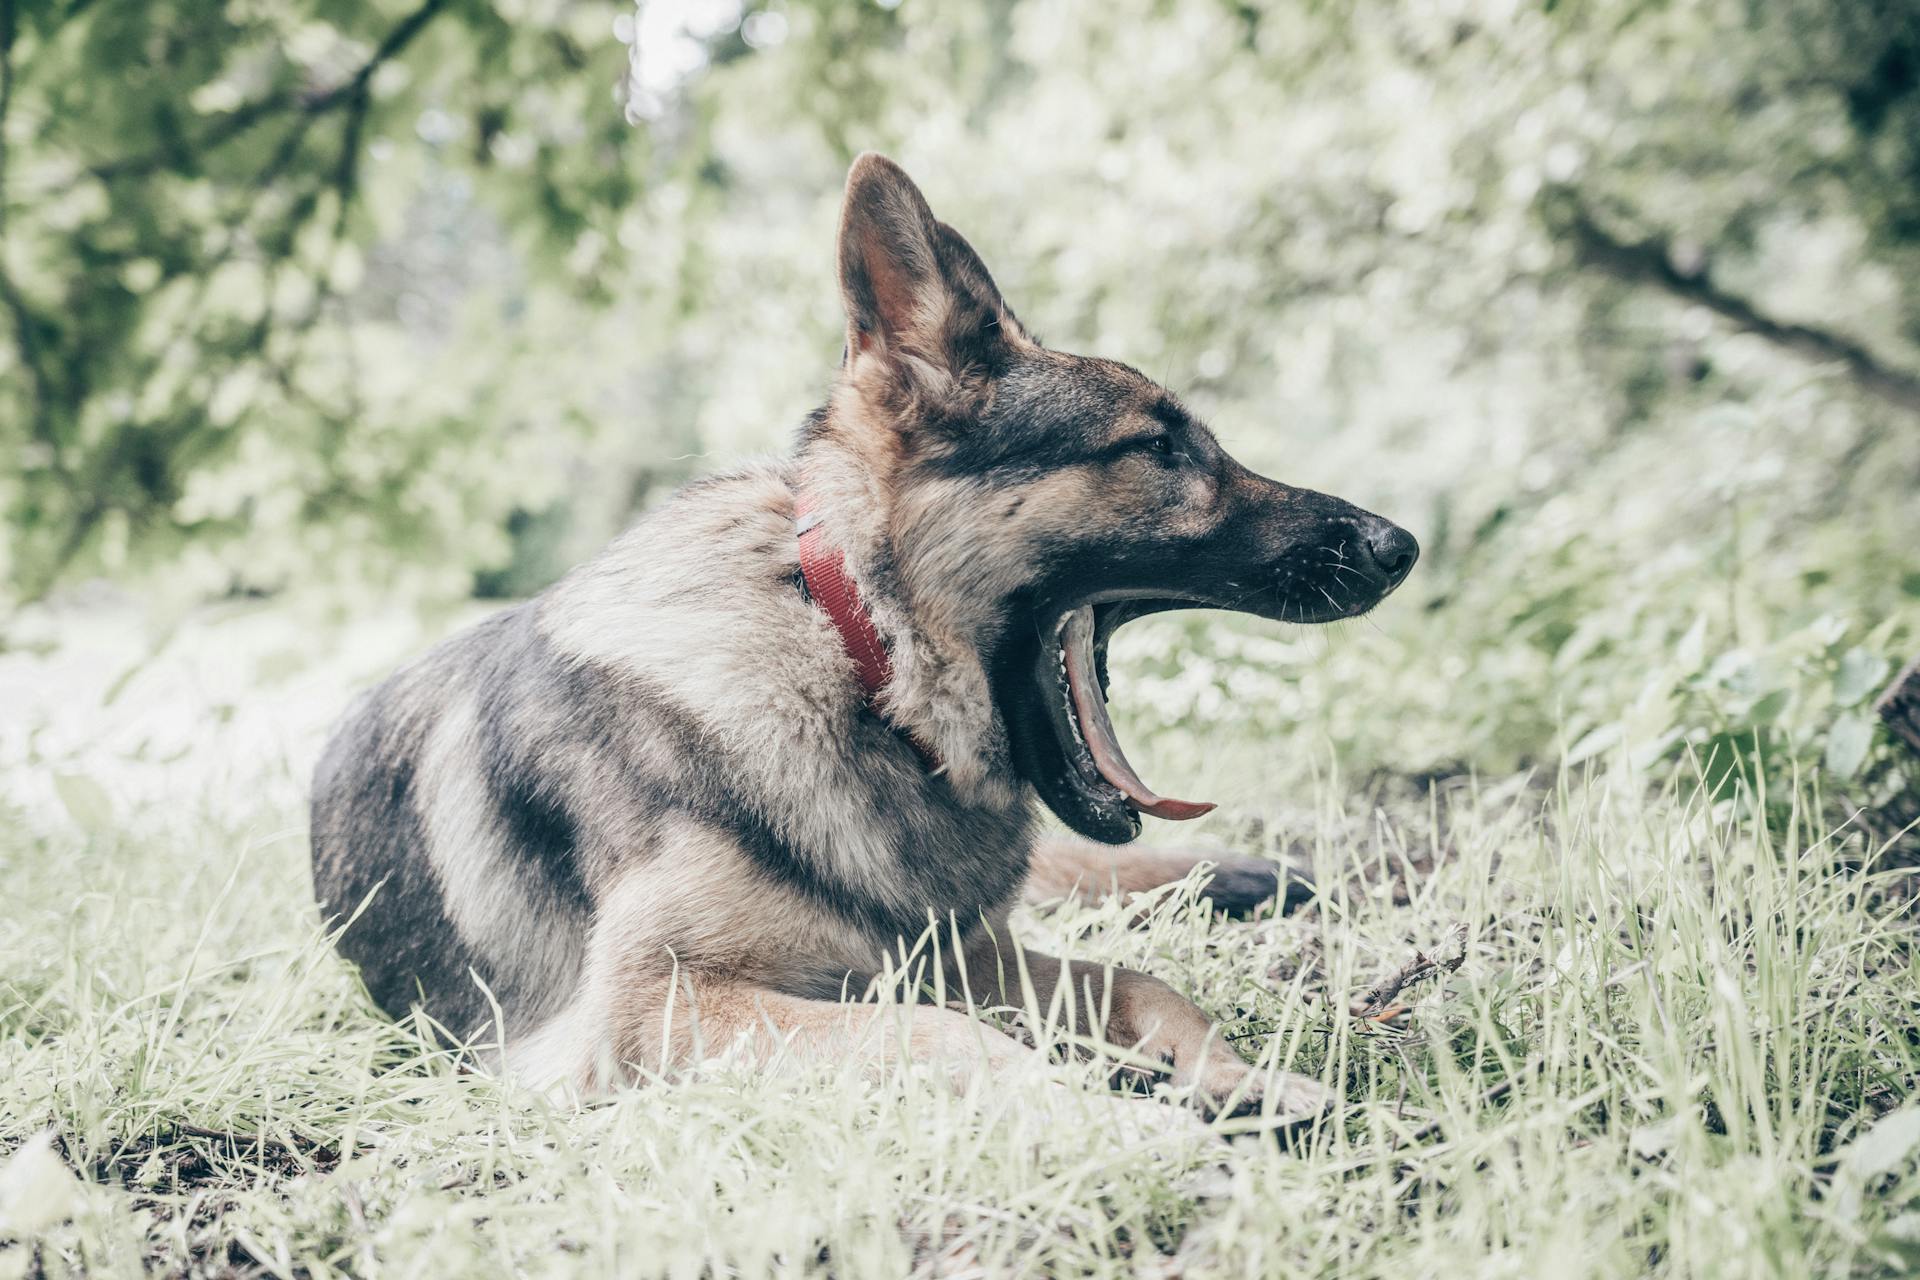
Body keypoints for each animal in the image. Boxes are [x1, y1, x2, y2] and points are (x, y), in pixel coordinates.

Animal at [314, 155, 1420, 1128]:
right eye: (1158, 447)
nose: (1400, 545)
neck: (856, 666)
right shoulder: (655, 1007)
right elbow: (943, 1035)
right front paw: (1120, 1119)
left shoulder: (967, 954)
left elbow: (1144, 983)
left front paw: (1238, 1077)